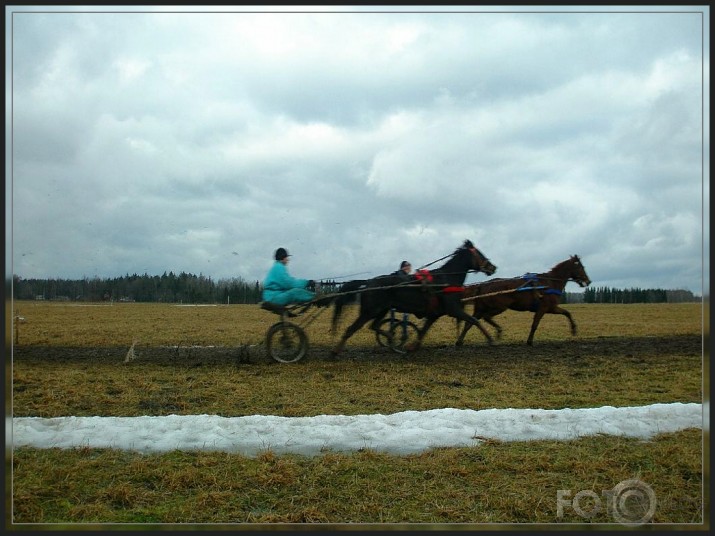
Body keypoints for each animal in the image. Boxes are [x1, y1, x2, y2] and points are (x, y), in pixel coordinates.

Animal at [332, 239, 496, 356]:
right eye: (479, 254)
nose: (493, 267)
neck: (446, 280)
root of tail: (368, 282)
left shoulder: (434, 314)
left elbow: (423, 331)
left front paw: (412, 347)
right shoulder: (454, 310)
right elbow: (474, 320)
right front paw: (491, 340)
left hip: (381, 310)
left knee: (374, 325)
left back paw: (390, 337)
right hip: (370, 311)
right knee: (351, 329)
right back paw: (335, 352)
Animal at [458, 255, 592, 348]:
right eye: (581, 267)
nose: (588, 281)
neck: (550, 283)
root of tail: (483, 285)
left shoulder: (551, 308)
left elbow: (567, 313)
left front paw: (574, 329)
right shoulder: (544, 308)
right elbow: (535, 324)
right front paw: (530, 341)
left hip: (480, 308)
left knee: (471, 322)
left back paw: (460, 341)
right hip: (498, 307)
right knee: (485, 317)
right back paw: (498, 331)